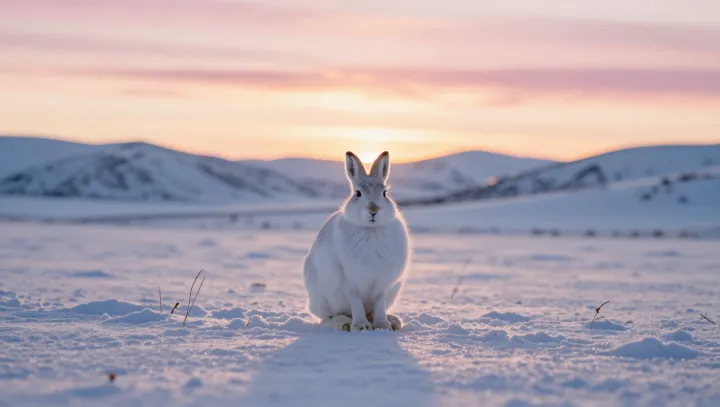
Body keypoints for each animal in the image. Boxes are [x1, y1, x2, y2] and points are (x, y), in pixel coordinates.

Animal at [303, 151, 411, 331]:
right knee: (327, 318)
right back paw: (344, 323)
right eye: (358, 193)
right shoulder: (350, 281)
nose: (373, 209)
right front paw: (361, 326)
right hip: (322, 300)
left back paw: (393, 321)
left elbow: (379, 303)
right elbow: (356, 303)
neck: (370, 230)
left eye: (385, 193)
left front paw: (382, 325)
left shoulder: (382, 284)